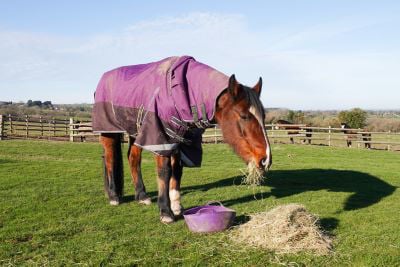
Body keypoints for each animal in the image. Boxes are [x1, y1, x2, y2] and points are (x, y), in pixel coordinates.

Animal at [92, 56, 272, 224]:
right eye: (244, 116)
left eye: (263, 116)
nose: (265, 159)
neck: (177, 93)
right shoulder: (160, 138)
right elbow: (164, 172)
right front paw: (166, 211)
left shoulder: (181, 141)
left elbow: (177, 171)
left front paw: (177, 205)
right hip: (109, 132)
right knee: (110, 159)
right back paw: (114, 196)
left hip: (135, 132)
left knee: (133, 159)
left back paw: (141, 195)